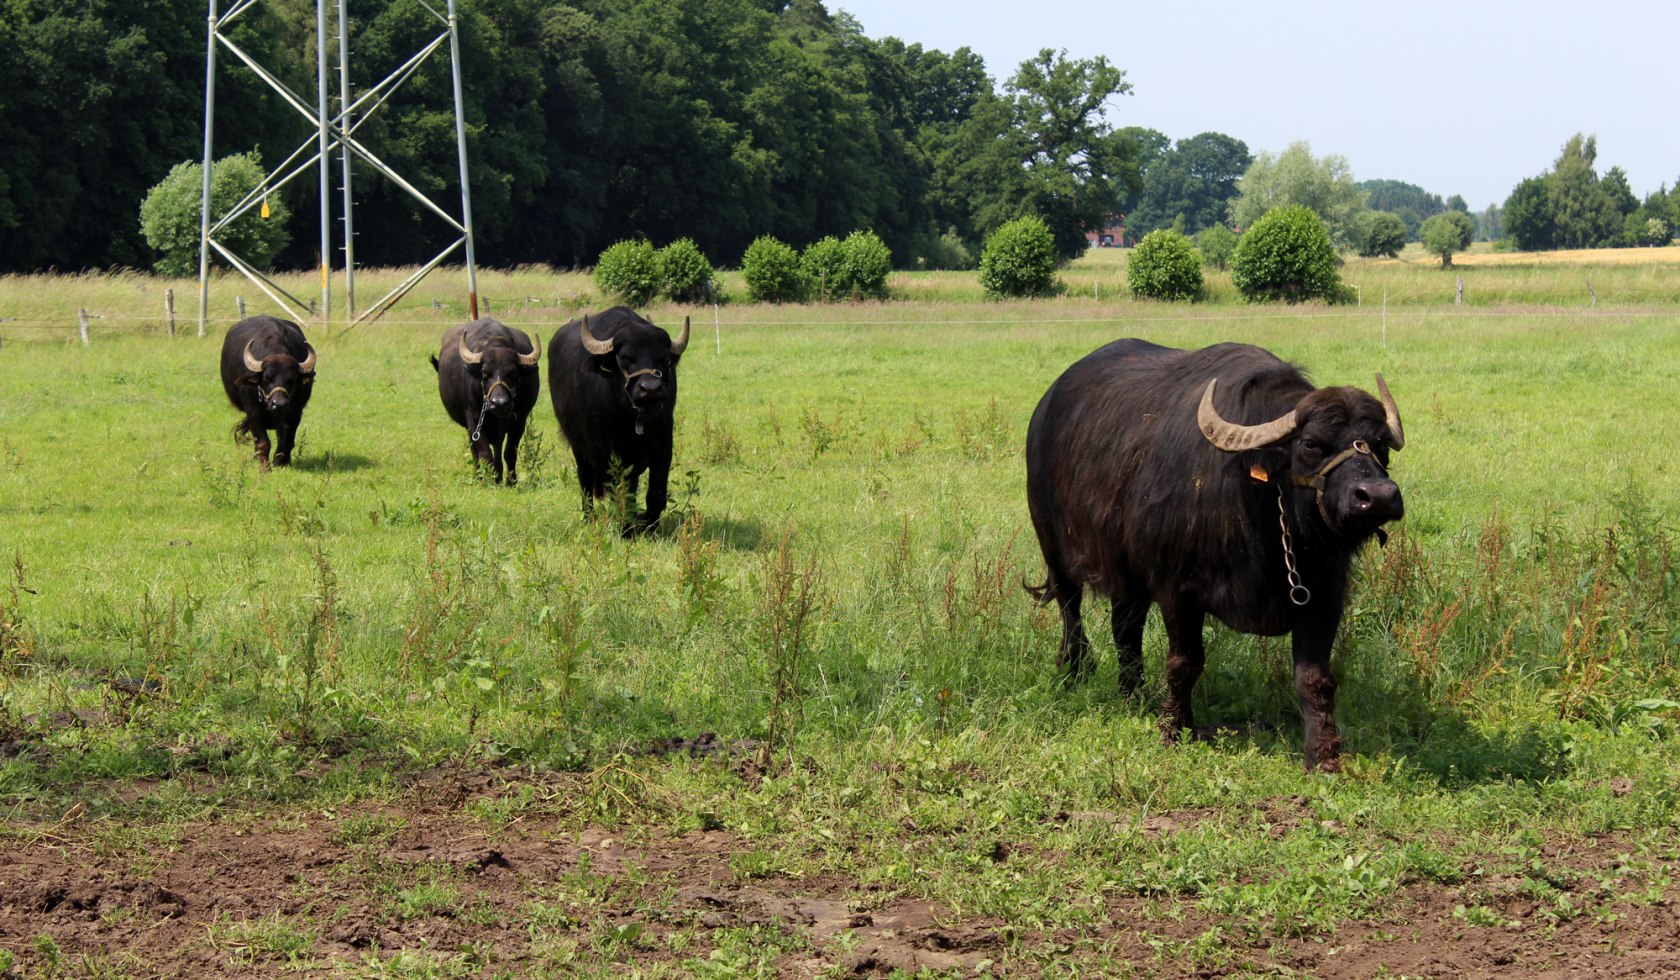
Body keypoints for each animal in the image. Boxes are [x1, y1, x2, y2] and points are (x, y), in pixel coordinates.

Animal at [220, 314, 317, 467]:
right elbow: (262, 443)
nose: (279, 403)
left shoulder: (295, 413)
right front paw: (265, 467)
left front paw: (279, 463)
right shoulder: (253, 413)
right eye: (266, 378)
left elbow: (287, 441)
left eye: (291, 380)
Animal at [430, 317, 540, 484]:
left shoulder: (520, 421)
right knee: (475, 451)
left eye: (513, 373)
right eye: (484, 373)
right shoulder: (474, 420)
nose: (499, 403)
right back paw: (479, 476)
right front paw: (488, 480)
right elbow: (484, 453)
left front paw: (511, 481)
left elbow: (509, 452)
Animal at [547, 305, 685, 537]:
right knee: (585, 482)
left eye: (665, 360)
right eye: (624, 357)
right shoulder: (609, 454)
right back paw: (589, 518)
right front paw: (626, 529)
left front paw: (649, 526)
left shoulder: (663, 448)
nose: (651, 389)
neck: (629, 420)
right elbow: (620, 495)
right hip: (579, 448)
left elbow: (656, 495)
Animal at [1021, 341, 1404, 779]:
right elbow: (1185, 662)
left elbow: (1315, 679)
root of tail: (1046, 406)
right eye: (1311, 444)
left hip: (1128, 576)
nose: (1377, 496)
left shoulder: (1323, 595)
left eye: (1379, 445)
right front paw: (1174, 729)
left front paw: (1322, 755)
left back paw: (1132, 692)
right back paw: (1073, 672)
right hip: (1053, 545)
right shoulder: (1177, 591)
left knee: (1125, 629)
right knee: (1072, 613)